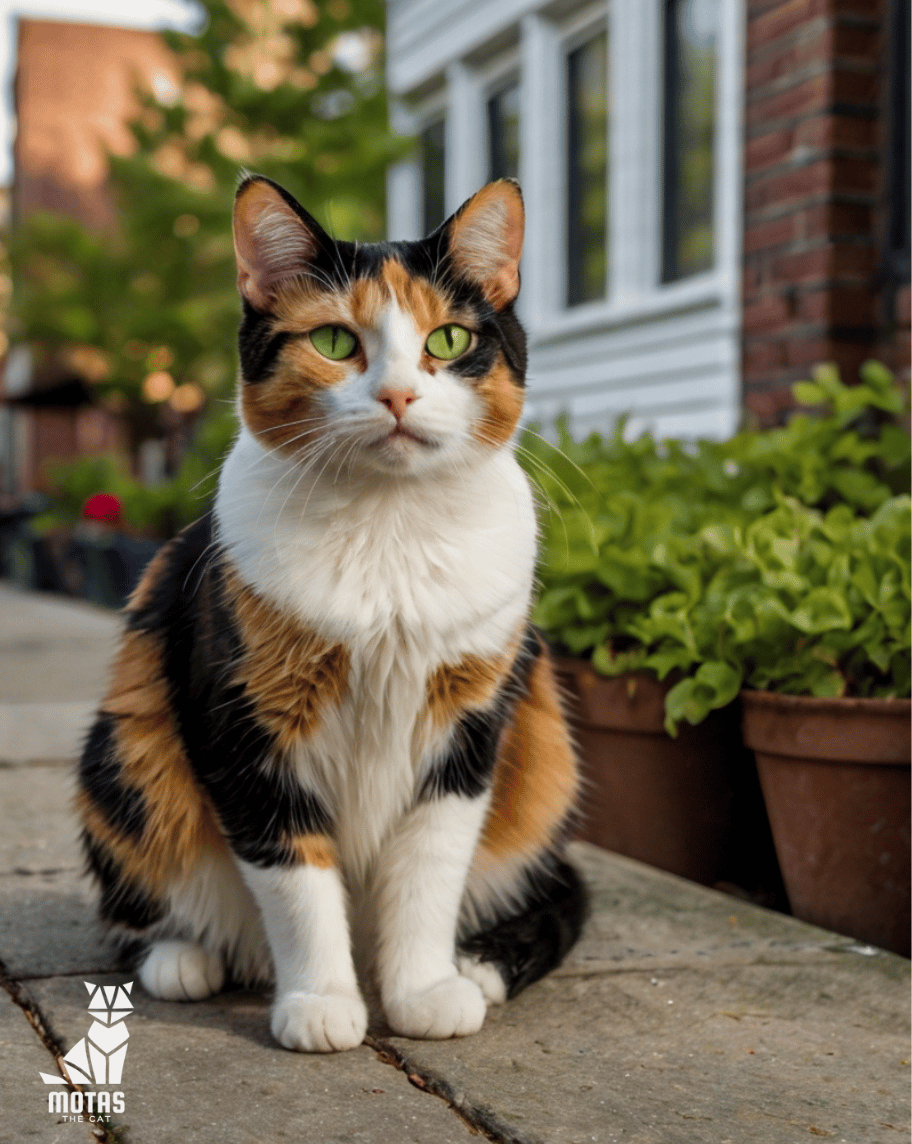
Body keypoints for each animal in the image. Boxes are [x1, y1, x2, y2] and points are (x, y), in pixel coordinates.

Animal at [80, 173, 590, 1047]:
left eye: (448, 340)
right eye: (333, 341)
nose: (397, 393)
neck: (388, 528)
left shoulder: (470, 729)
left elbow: (429, 865)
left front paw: (425, 990)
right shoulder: (244, 725)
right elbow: (295, 875)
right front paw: (321, 1004)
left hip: (543, 753)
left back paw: (479, 966)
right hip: (124, 745)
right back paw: (183, 958)